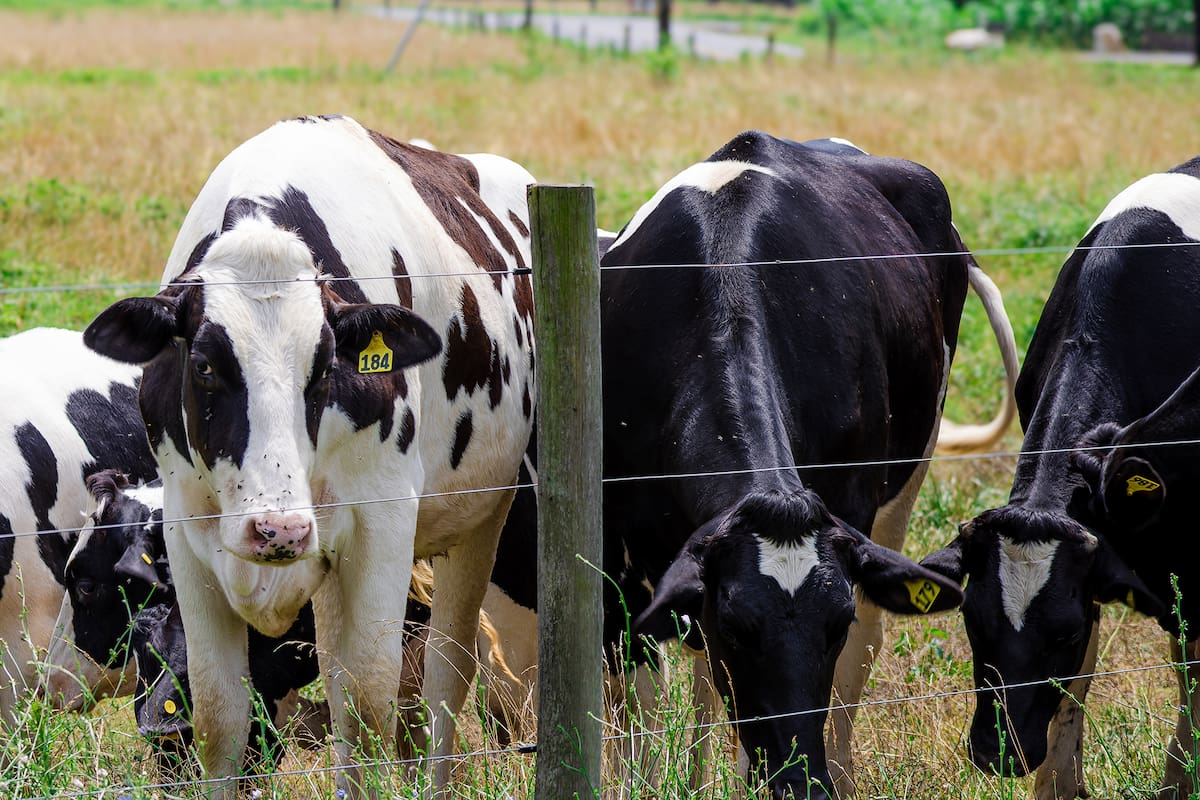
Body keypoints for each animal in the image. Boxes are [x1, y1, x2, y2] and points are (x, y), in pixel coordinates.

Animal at [82, 114, 536, 797]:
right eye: (204, 365)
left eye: (325, 369)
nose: (279, 529)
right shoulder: (187, 532)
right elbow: (219, 718)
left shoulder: (381, 524)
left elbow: (371, 704)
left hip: (479, 524)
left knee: (440, 686)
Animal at [588, 131, 1017, 799]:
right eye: (738, 625)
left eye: (833, 624)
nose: (802, 781)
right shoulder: (618, 553)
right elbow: (643, 707)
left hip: (906, 476)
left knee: (864, 653)